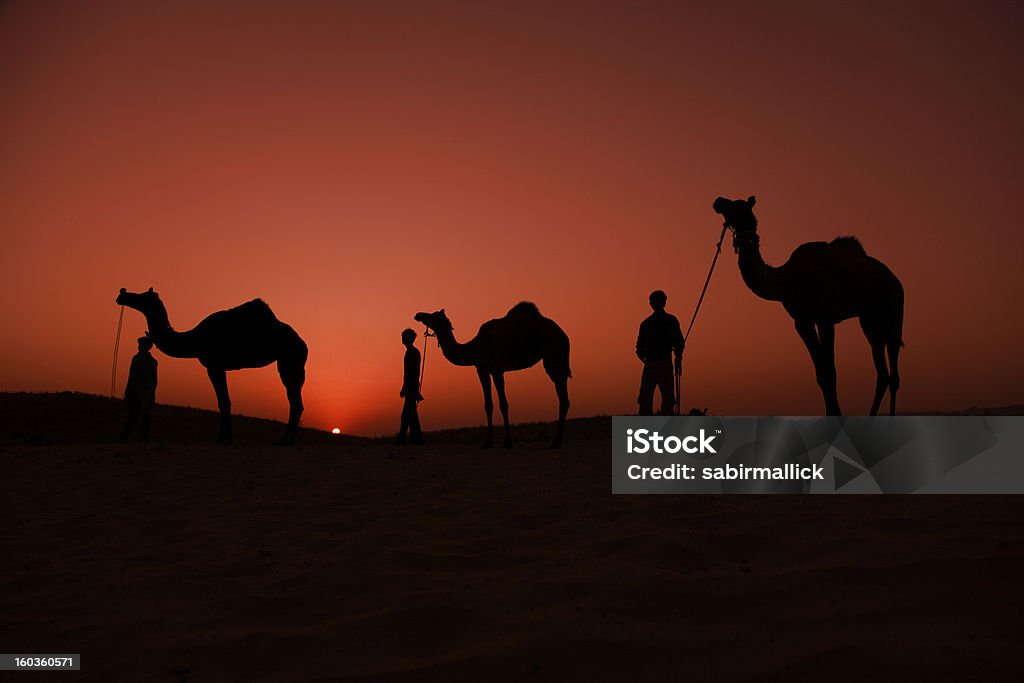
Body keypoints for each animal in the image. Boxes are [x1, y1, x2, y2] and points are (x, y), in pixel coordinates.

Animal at [115, 286, 307, 444]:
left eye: (143, 297)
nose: (122, 294)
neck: (195, 339)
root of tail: (303, 344)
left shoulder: (214, 366)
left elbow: (223, 401)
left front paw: (222, 438)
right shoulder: (218, 367)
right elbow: (225, 401)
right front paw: (227, 437)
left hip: (291, 361)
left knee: (295, 402)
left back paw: (285, 441)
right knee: (295, 402)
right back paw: (286, 440)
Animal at [415, 305, 577, 448]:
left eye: (433, 316)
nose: (418, 314)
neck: (475, 347)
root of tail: (564, 335)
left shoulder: (497, 369)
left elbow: (503, 404)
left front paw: (508, 442)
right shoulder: (482, 369)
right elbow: (488, 405)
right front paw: (488, 442)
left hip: (554, 355)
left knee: (562, 396)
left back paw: (556, 442)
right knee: (563, 397)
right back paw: (557, 441)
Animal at [712, 194, 905, 413]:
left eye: (737, 204)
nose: (718, 201)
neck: (787, 279)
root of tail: (894, 279)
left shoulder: (825, 318)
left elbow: (830, 373)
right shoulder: (802, 321)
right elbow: (822, 375)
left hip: (895, 310)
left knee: (894, 372)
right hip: (869, 319)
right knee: (882, 373)